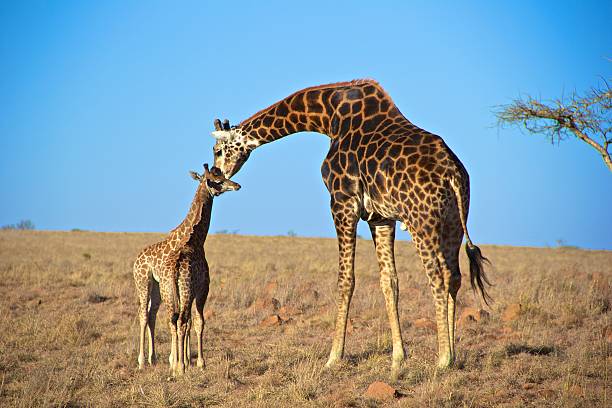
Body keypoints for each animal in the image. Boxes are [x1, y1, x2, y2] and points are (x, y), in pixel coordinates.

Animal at [133, 163, 240, 376]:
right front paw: (197, 362)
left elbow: (184, 322)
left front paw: (179, 360)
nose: (236, 185)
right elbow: (198, 322)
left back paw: (156, 360)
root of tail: (137, 260)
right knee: (149, 315)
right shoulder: (202, 288)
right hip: (148, 283)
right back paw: (149, 362)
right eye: (218, 180)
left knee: (161, 317)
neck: (195, 239)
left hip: (163, 289)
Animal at [210, 79, 492, 380]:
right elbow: (389, 281)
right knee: (454, 277)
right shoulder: (380, 217)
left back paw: (443, 359)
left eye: (217, 151)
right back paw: (453, 353)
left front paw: (333, 357)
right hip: (453, 223)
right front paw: (398, 358)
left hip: (422, 221)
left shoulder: (341, 201)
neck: (328, 117)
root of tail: (453, 174)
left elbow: (345, 281)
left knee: (437, 278)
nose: (215, 180)